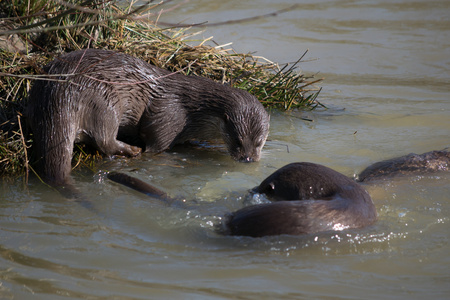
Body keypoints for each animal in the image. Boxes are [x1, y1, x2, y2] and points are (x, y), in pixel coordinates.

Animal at [26, 49, 268, 185]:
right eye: (237, 140)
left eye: (259, 142)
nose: (248, 158)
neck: (193, 110)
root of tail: (61, 93)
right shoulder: (168, 119)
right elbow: (155, 146)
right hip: (104, 102)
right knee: (104, 140)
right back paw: (132, 150)